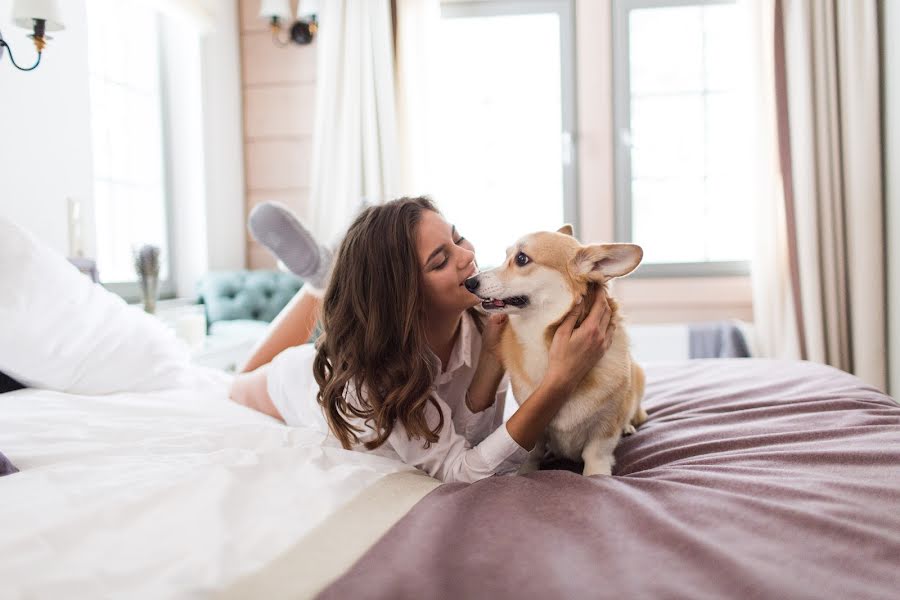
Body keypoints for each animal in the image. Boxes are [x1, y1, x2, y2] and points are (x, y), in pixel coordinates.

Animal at [464, 226, 648, 478]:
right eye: (506, 256)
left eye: (521, 259)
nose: (469, 282)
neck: (544, 342)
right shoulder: (533, 423)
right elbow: (532, 452)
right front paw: (524, 472)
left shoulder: (605, 425)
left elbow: (596, 453)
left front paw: (596, 475)